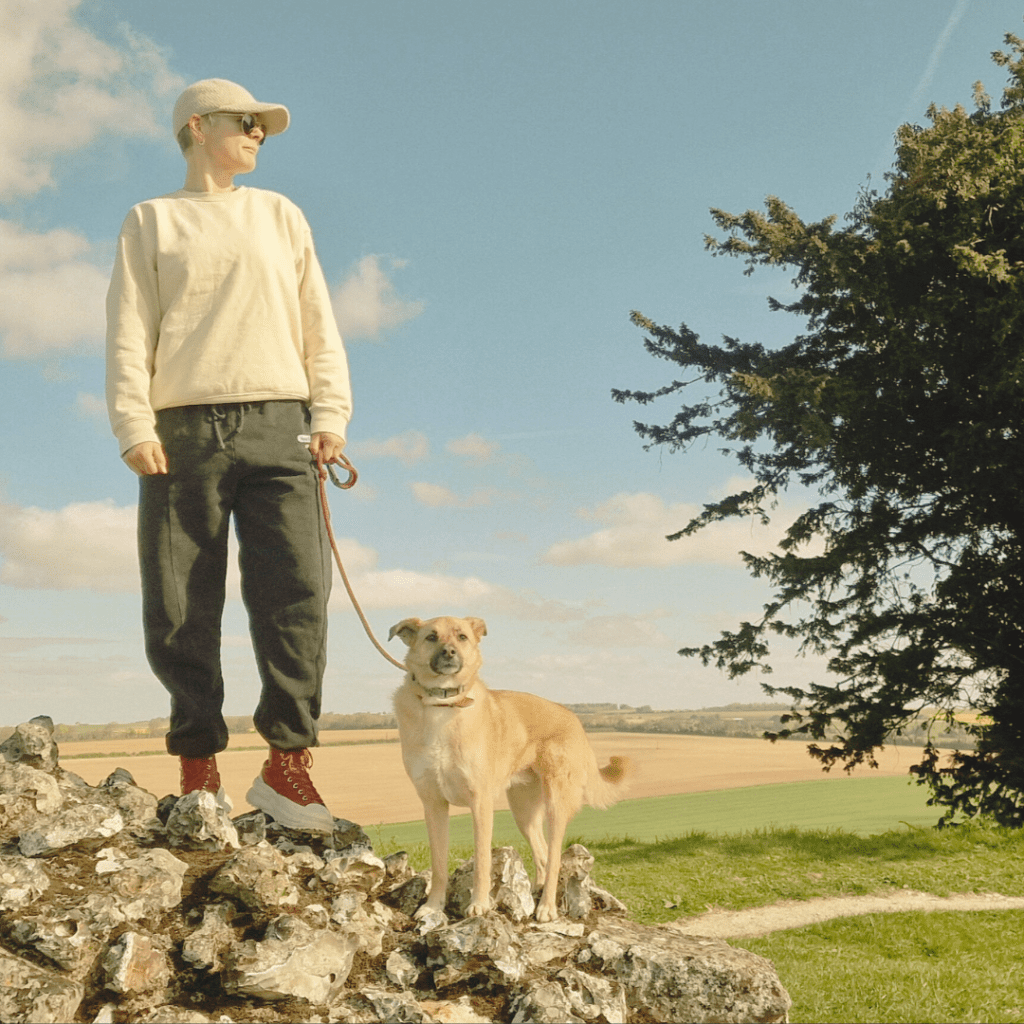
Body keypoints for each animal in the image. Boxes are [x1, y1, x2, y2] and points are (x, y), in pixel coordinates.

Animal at [387, 610, 626, 925]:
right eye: (431, 637)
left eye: (461, 636)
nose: (449, 652)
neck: (444, 704)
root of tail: (574, 718)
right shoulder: (433, 804)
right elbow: (438, 864)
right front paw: (433, 906)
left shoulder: (480, 803)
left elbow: (482, 861)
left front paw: (479, 904)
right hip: (524, 813)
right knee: (543, 855)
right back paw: (536, 893)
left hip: (556, 805)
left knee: (555, 859)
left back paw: (546, 907)